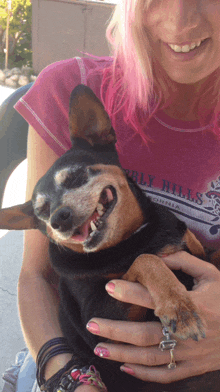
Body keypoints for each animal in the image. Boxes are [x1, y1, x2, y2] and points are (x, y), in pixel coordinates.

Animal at [0, 86, 219, 392]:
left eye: (76, 176)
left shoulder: (202, 255)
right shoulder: (107, 323)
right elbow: (145, 260)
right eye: (41, 212)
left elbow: (204, 253)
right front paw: (180, 308)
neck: (132, 238)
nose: (58, 219)